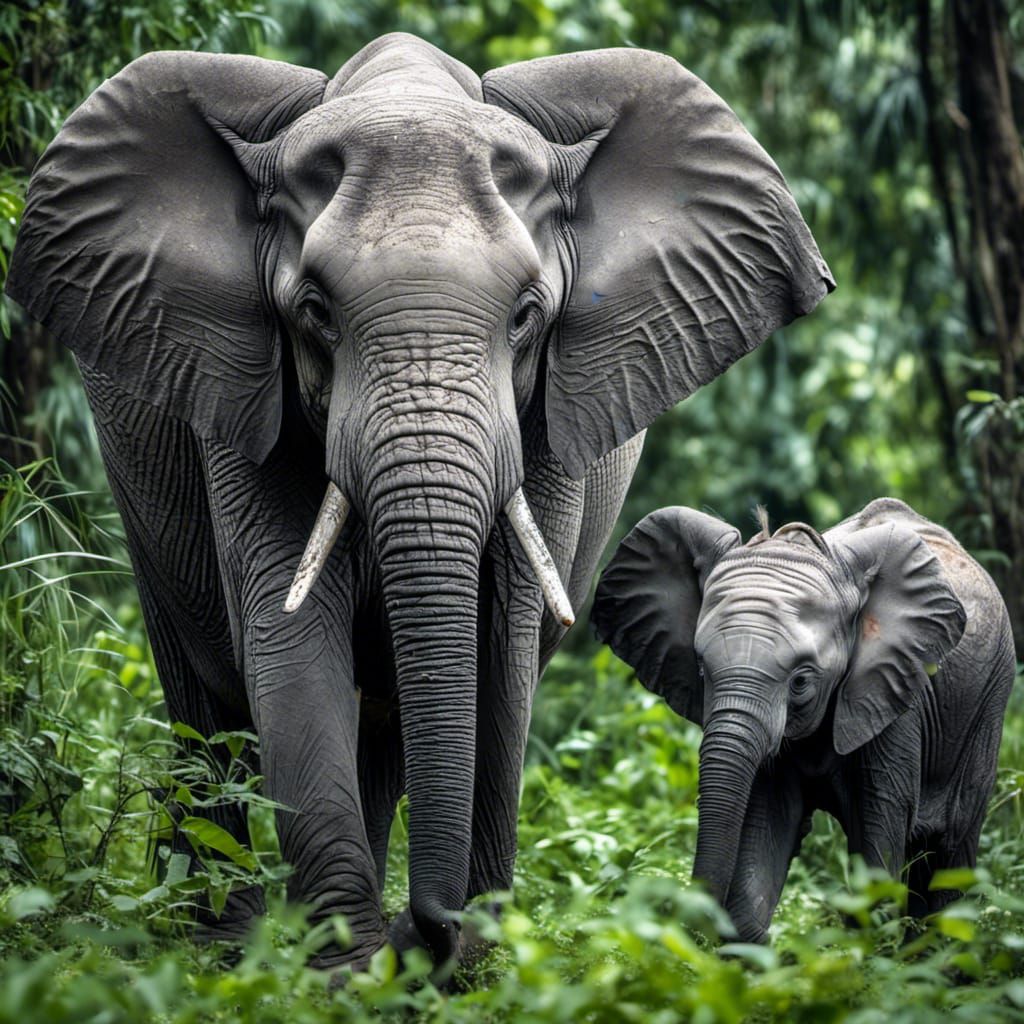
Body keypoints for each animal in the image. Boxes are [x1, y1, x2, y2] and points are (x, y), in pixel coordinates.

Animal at [6, 33, 832, 970]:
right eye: (315, 313)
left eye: (526, 316)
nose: (428, 926)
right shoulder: (243, 389)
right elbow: (290, 639)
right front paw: (347, 970)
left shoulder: (549, 423)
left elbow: (501, 647)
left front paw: (462, 963)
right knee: (203, 701)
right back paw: (222, 942)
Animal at [593, 498, 1015, 942]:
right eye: (703, 671)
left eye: (801, 681)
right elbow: (767, 825)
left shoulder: (895, 695)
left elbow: (881, 825)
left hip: (990, 700)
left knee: (952, 845)